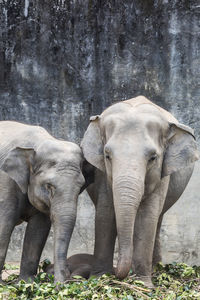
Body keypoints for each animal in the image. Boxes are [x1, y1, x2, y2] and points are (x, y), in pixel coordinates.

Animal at [0, 120, 86, 282]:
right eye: (49, 186)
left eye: (81, 187)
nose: (63, 282)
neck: (38, 143)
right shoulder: (5, 181)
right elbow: (4, 225)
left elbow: (38, 229)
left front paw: (26, 282)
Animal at [81, 95, 198, 286]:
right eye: (107, 155)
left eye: (153, 158)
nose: (117, 273)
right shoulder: (101, 173)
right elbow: (105, 214)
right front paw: (98, 279)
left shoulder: (161, 174)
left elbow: (147, 217)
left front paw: (143, 284)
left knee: (158, 219)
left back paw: (156, 269)